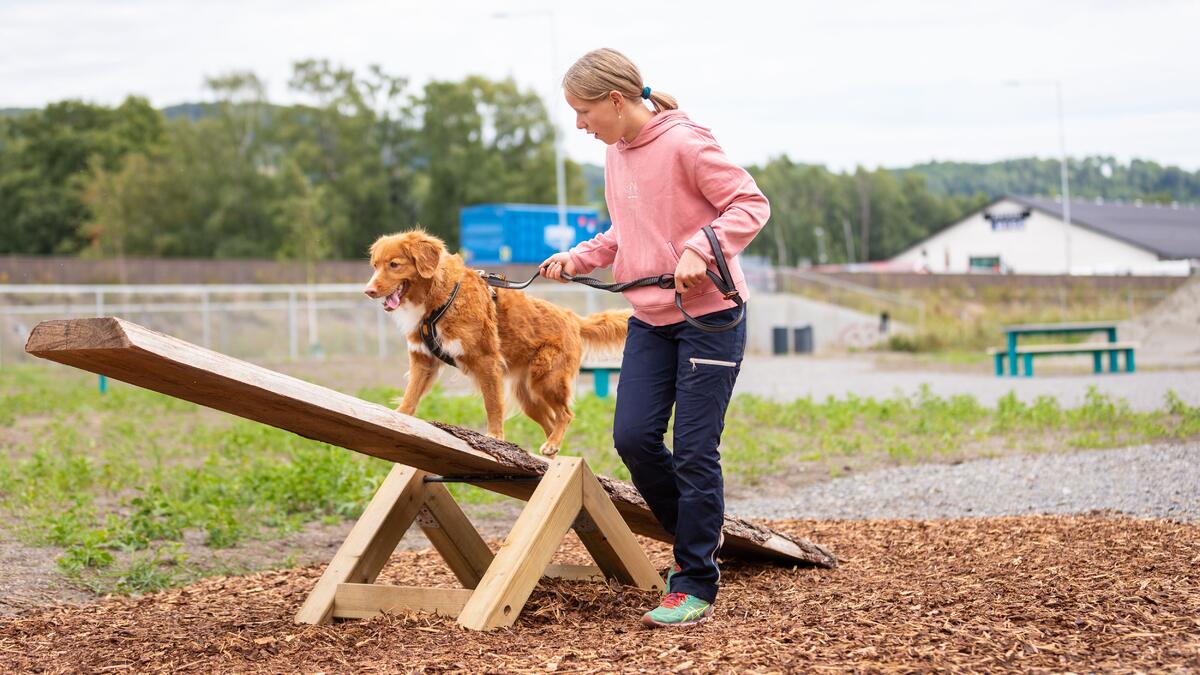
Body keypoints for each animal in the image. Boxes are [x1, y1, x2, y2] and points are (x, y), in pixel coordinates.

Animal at [362, 228, 628, 454]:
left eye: (394, 264)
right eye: (374, 266)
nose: (368, 291)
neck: (441, 298)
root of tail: (572, 317)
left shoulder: (486, 361)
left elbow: (492, 404)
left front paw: (495, 436)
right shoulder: (423, 360)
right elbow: (411, 394)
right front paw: (400, 416)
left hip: (546, 379)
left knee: (566, 414)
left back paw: (552, 445)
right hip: (528, 397)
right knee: (551, 421)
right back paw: (552, 451)